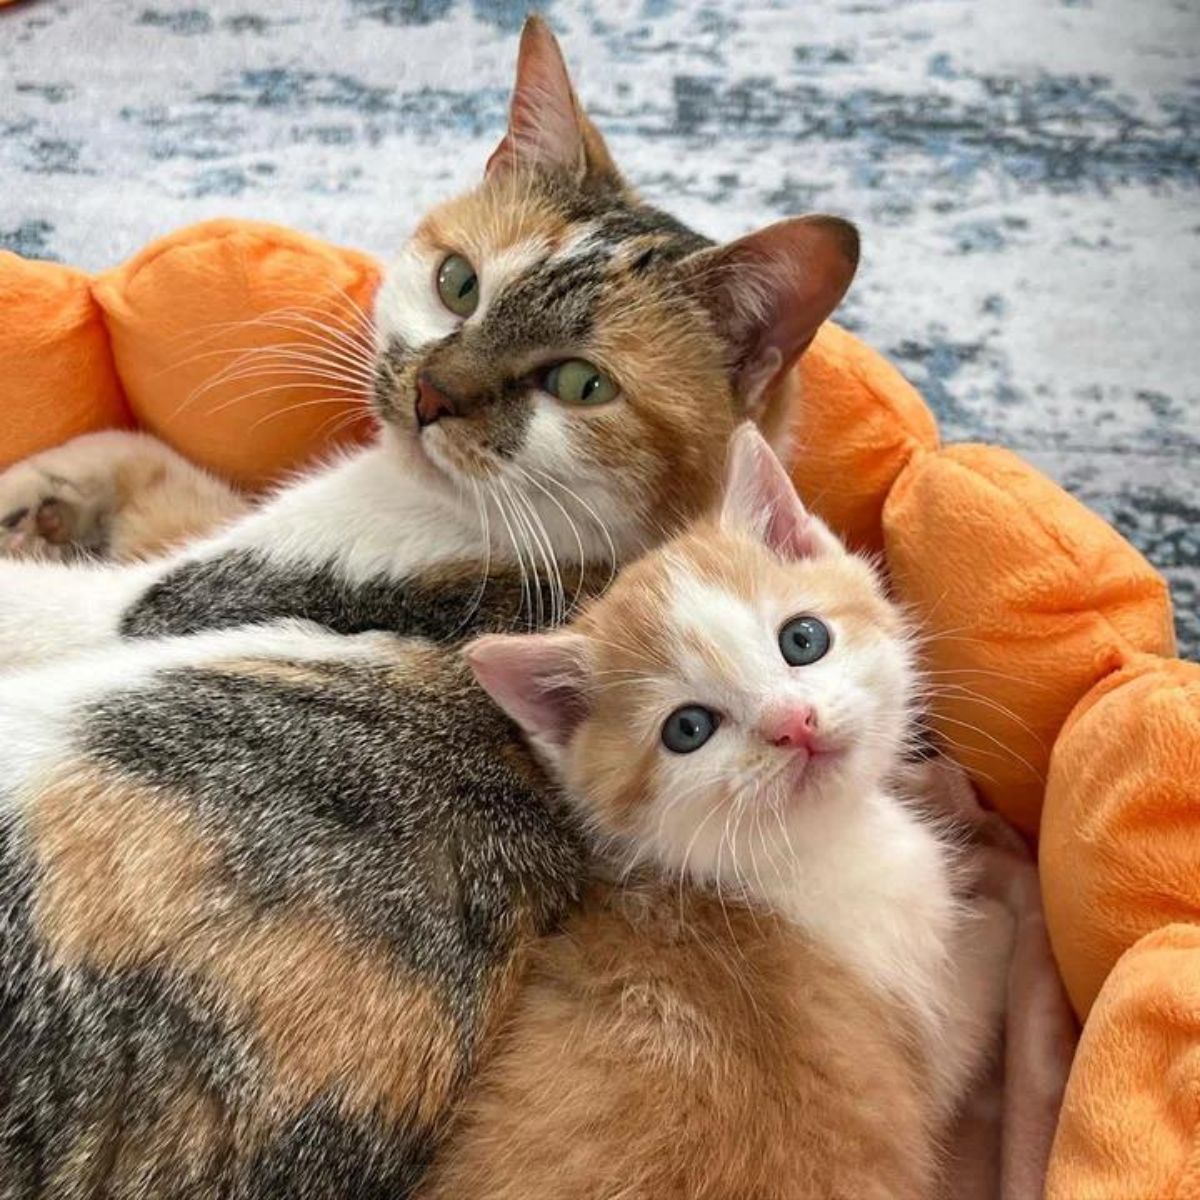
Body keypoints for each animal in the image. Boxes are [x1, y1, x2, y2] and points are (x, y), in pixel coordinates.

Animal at [0, 16, 864, 1200]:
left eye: (580, 384)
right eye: (459, 283)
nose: (429, 394)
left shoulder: (185, 597)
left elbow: (62, 591)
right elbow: (155, 469)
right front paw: (47, 489)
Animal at [424, 424, 1012, 1200]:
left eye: (803, 639)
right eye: (689, 729)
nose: (793, 723)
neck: (794, 849)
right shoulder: (929, 1018)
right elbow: (980, 983)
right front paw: (1008, 892)